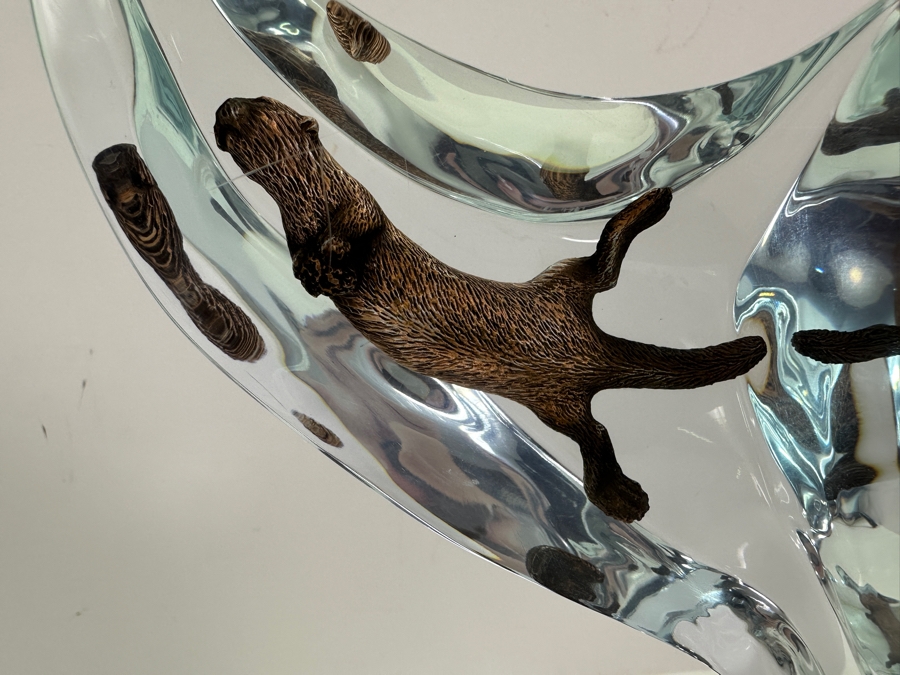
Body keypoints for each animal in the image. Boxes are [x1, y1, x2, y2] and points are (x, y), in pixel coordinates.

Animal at [213, 96, 766, 522]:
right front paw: (312, 271)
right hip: (556, 388)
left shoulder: (356, 200)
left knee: (601, 292)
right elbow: (301, 264)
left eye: (258, 103)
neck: (308, 208)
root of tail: (589, 346)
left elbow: (362, 219)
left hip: (558, 301)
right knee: (595, 401)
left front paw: (332, 256)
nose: (224, 107)